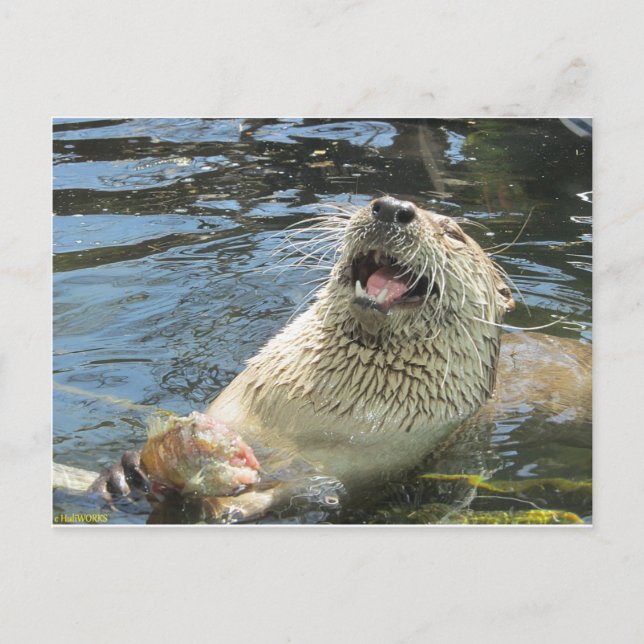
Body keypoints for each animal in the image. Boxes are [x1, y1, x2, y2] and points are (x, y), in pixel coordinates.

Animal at [77, 196, 591, 522]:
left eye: (454, 234)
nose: (393, 207)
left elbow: (307, 491)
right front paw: (128, 473)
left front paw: (226, 505)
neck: (311, 414)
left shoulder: (365, 467)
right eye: (378, 200)